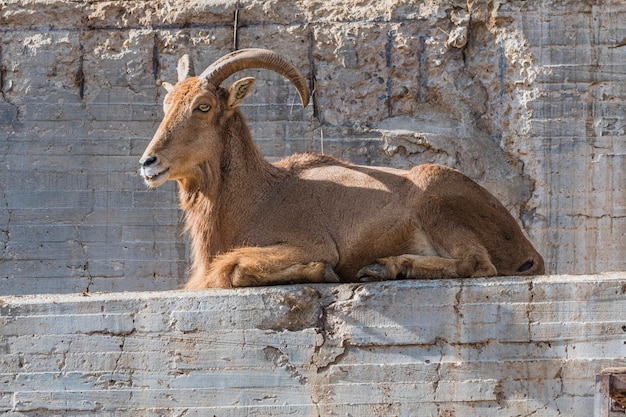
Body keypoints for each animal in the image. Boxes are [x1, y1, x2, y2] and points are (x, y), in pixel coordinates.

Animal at [139, 48, 544, 288]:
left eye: (203, 106)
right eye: (167, 104)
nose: (148, 162)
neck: (256, 196)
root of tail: (528, 250)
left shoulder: (309, 242)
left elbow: (233, 268)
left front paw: (322, 272)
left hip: (437, 200)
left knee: (477, 262)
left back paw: (387, 266)